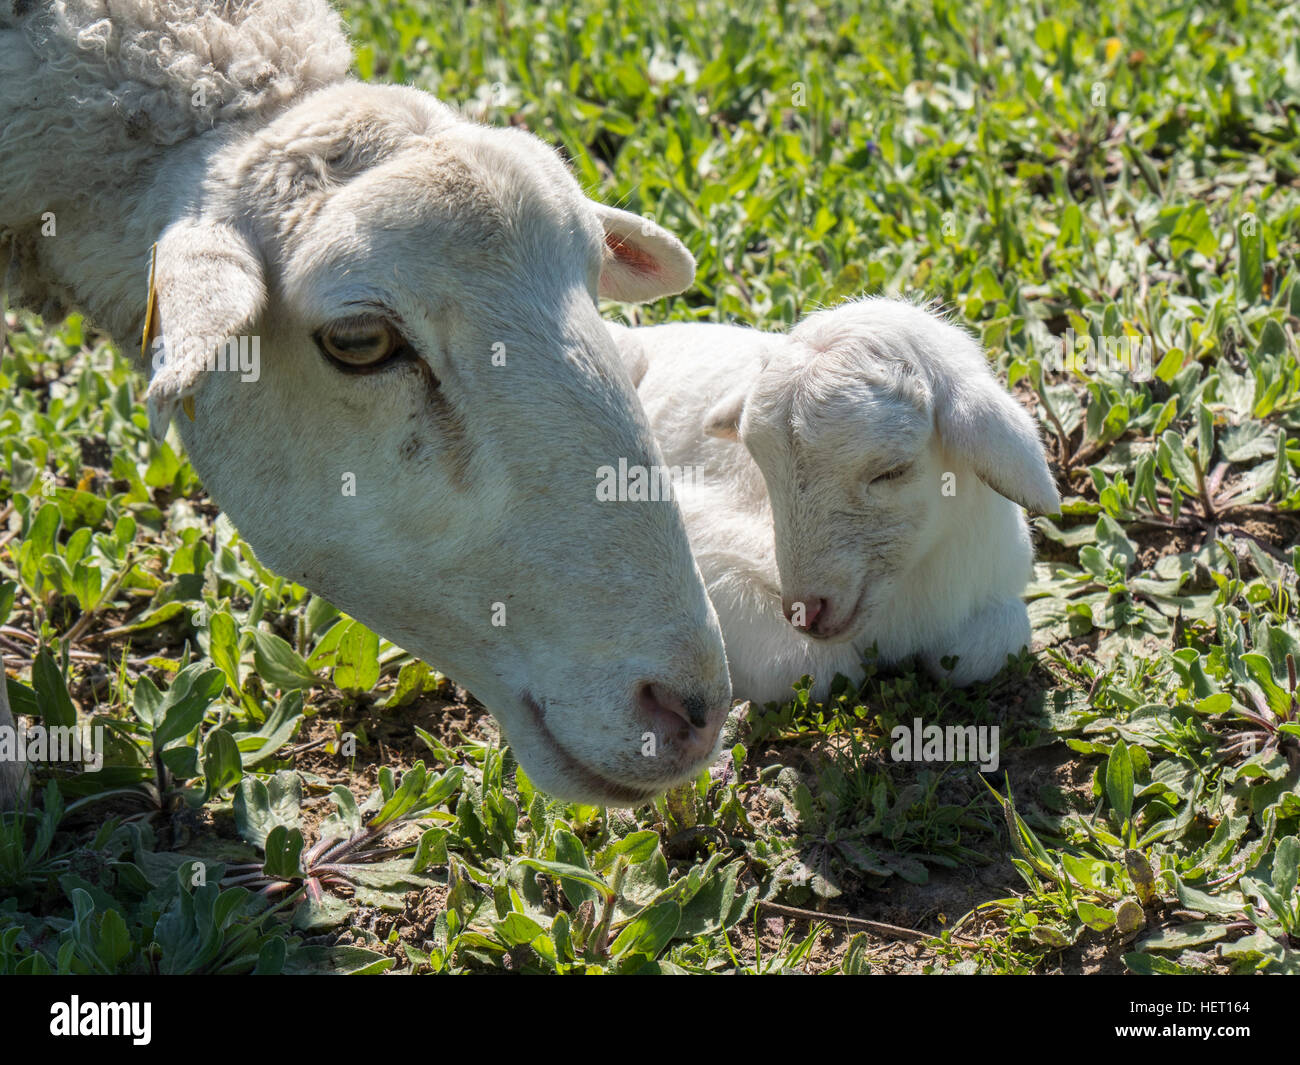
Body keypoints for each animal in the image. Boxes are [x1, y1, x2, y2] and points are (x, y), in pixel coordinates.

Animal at [609, 297, 1061, 705]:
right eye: (762, 467)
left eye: (893, 470)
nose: (806, 611)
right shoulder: (700, 533)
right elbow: (815, 668)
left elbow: (988, 646)